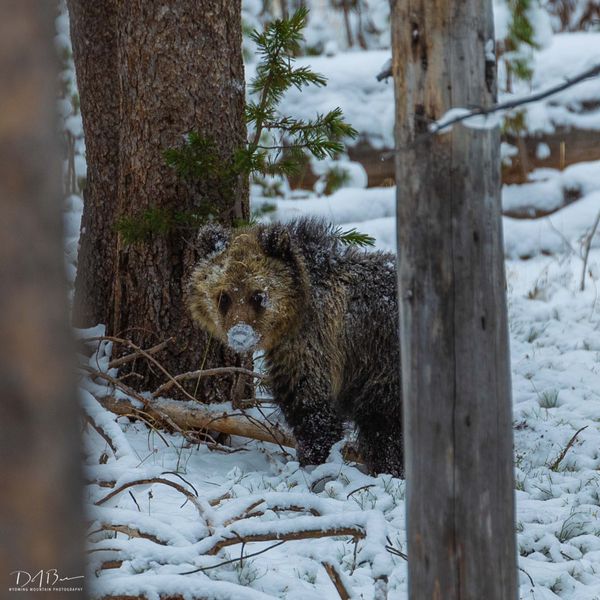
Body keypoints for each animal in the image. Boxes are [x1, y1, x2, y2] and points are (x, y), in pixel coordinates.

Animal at [189, 218, 404, 476]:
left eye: (257, 295)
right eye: (224, 296)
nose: (240, 335)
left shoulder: (314, 346)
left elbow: (312, 410)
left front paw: (311, 462)